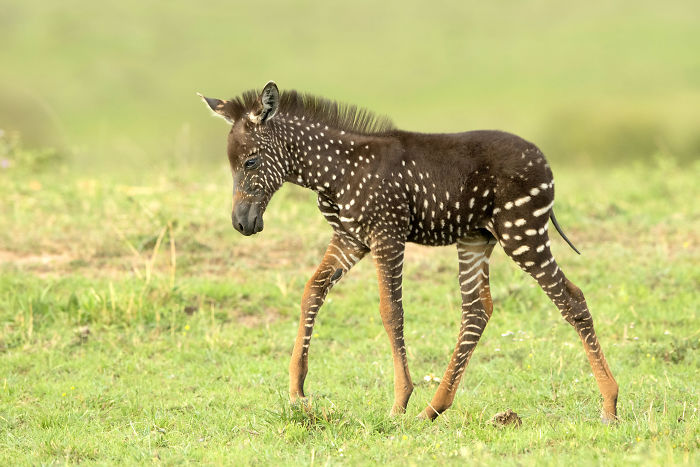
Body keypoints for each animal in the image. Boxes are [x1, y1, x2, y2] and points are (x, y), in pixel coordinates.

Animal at [197, 81, 616, 424]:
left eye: (250, 161)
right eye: (231, 165)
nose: (242, 223)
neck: (335, 171)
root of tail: (545, 164)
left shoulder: (387, 234)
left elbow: (390, 311)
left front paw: (400, 401)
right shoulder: (350, 238)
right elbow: (311, 290)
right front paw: (297, 389)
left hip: (523, 232)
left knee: (571, 299)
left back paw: (610, 404)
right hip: (477, 238)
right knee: (477, 310)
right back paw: (434, 408)